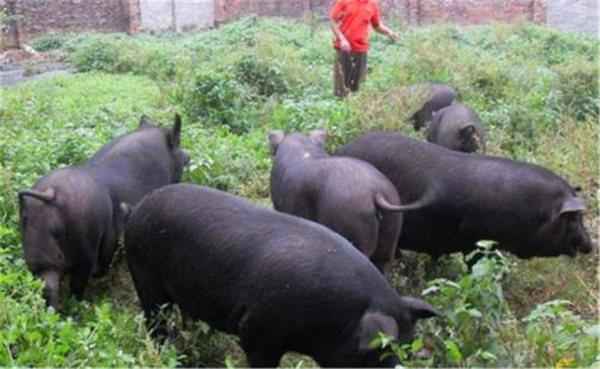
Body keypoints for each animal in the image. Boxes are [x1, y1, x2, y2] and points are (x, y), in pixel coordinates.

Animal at [18, 113, 189, 310]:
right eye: (178, 142)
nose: (188, 156)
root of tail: (50, 193)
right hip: (84, 249)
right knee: (77, 284)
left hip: (38, 254)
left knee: (48, 285)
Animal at [125, 185, 436, 366]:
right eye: (376, 355)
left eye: (407, 351)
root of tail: (138, 208)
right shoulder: (256, 331)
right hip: (144, 275)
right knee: (155, 322)